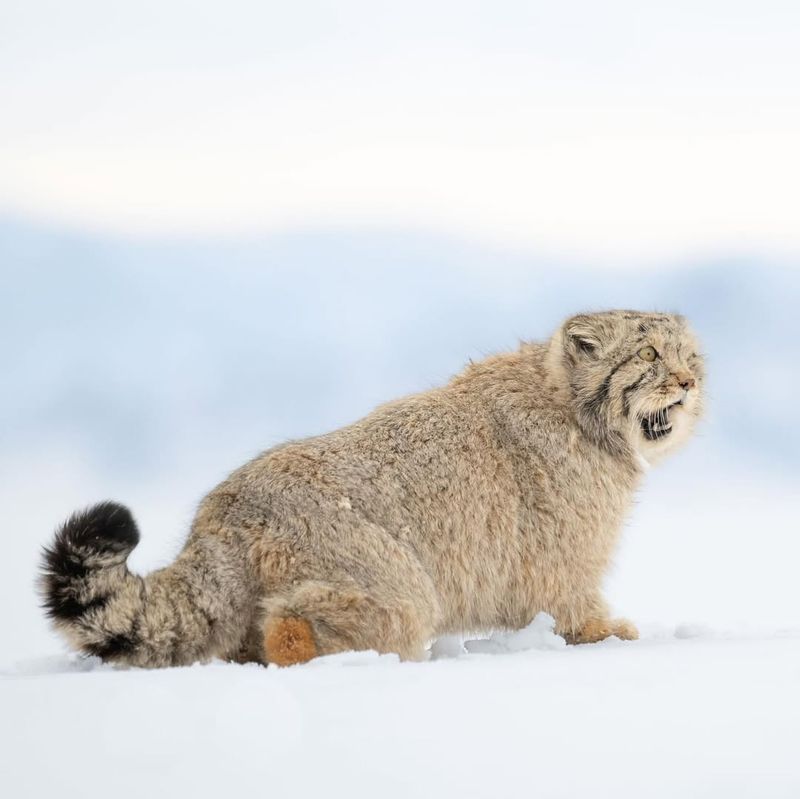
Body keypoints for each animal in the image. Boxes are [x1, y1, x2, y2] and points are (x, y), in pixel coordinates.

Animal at [42, 310, 708, 664]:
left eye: (691, 357)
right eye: (649, 353)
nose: (687, 382)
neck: (577, 416)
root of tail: (225, 513)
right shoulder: (566, 553)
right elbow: (575, 604)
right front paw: (606, 634)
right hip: (397, 587)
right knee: (299, 623)